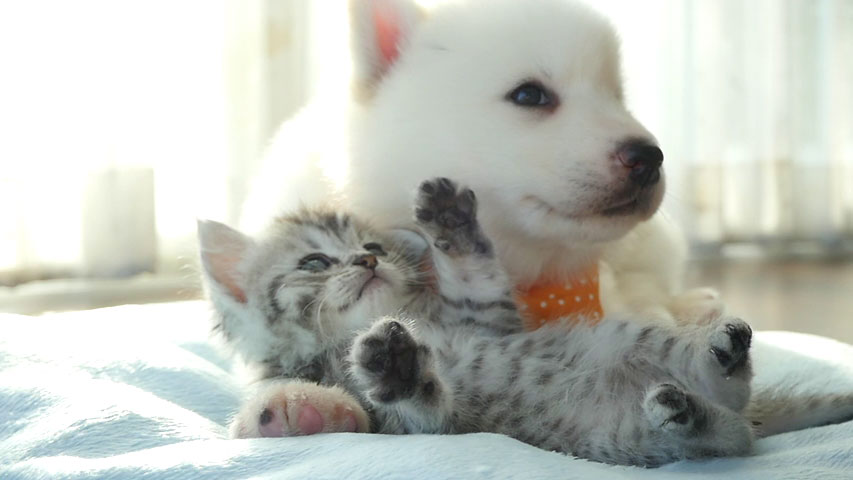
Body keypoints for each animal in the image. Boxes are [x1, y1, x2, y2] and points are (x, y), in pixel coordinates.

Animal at [201, 178, 764, 466]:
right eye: (315, 261)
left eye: (374, 246)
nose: (367, 261)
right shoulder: (406, 426)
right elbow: (416, 408)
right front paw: (381, 374)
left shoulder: (487, 321)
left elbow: (476, 277)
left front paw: (451, 221)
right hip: (620, 437)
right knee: (722, 434)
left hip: (630, 337)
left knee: (733, 408)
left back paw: (721, 354)